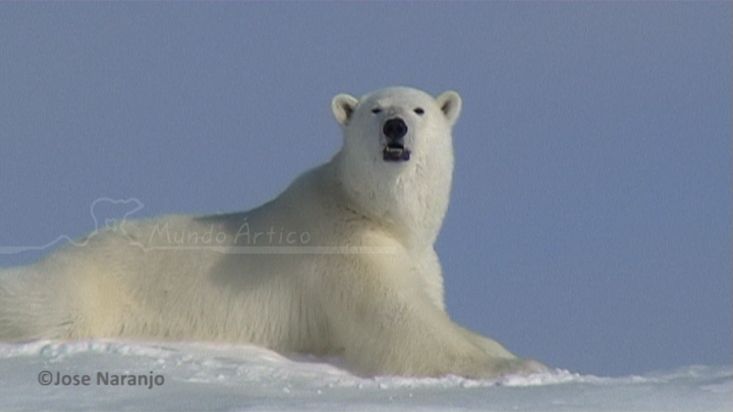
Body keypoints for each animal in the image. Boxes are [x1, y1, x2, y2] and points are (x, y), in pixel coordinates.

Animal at [1, 87, 544, 376]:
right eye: (374, 109)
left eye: (419, 110)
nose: (395, 127)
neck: (370, 210)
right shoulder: (345, 252)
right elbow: (402, 327)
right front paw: (519, 369)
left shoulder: (417, 260)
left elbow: (434, 310)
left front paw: (508, 353)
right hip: (91, 284)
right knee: (46, 303)